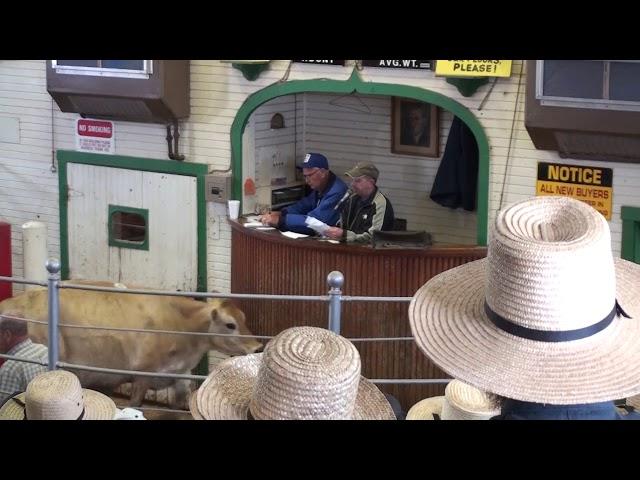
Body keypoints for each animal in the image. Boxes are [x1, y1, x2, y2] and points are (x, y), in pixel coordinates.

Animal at [0, 282, 262, 408]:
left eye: (244, 318)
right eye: (230, 325)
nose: (257, 347)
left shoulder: (180, 374)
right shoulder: (142, 374)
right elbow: (136, 403)